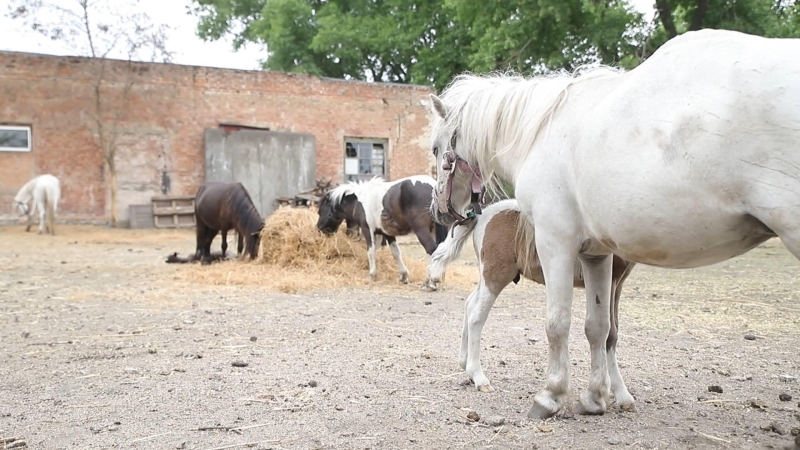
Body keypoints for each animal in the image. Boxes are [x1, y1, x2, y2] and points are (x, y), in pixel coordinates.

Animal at [314, 175, 450, 284]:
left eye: (320, 211)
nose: (319, 229)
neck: (360, 200)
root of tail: (433, 186)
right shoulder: (387, 233)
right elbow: (395, 253)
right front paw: (403, 276)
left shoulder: (367, 230)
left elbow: (371, 251)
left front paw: (372, 275)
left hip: (421, 230)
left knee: (432, 250)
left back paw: (431, 281)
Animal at [422, 200, 636, 404]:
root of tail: (482, 215)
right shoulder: (611, 279)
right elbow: (609, 333)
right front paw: (620, 393)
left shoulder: (617, 284)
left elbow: (612, 332)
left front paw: (619, 394)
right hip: (496, 274)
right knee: (476, 316)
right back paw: (479, 376)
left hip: (488, 277)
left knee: (470, 304)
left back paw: (465, 363)